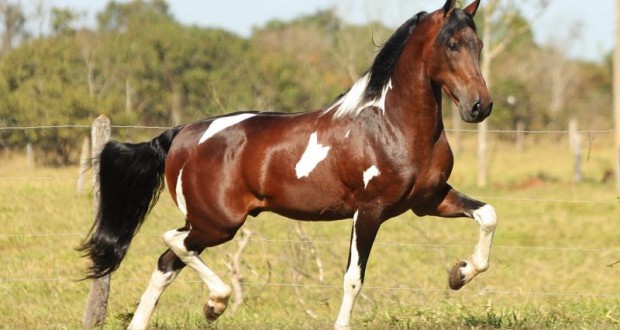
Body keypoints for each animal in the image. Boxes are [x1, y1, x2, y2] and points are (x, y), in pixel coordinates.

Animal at [82, 1, 496, 328]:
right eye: (452, 44)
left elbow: (488, 215)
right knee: (173, 242)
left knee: (166, 262)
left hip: (208, 222)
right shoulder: (369, 211)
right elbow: (353, 279)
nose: (480, 106)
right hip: (218, 222)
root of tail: (181, 134)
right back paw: (216, 303)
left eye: (478, 45)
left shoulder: (429, 201)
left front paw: (459, 274)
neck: (392, 126)